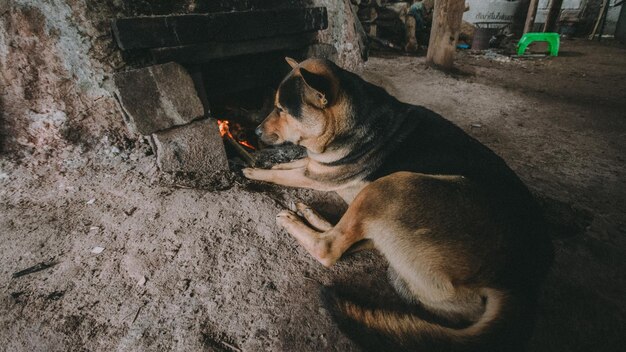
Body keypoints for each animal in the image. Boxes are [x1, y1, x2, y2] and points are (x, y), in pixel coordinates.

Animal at [243, 58, 552, 352]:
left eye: (281, 109)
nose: (255, 131)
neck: (351, 119)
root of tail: (519, 281)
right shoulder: (314, 167)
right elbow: (289, 164)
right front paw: (263, 162)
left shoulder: (316, 175)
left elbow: (282, 173)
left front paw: (251, 171)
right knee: (355, 238)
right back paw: (312, 215)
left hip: (393, 185)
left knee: (330, 247)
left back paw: (295, 222)